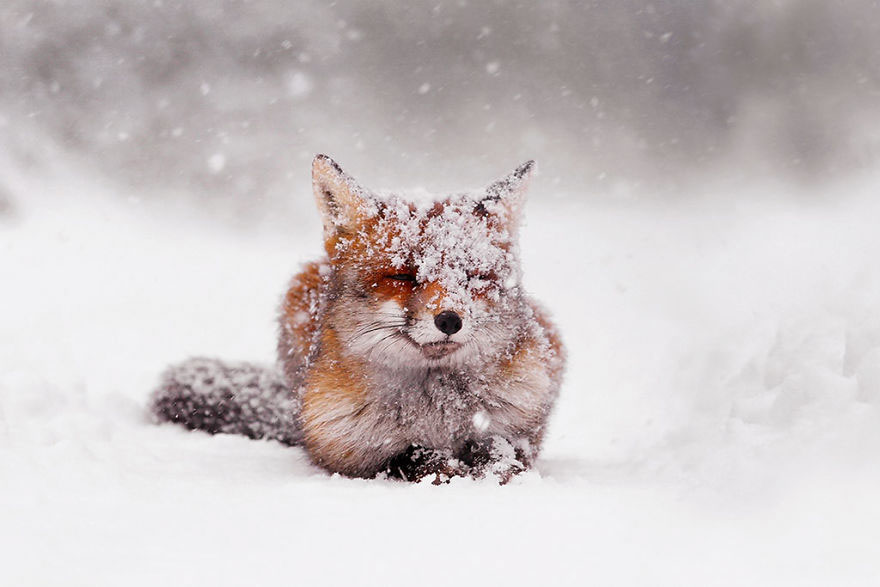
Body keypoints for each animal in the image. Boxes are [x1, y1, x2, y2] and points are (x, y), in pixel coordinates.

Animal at [151, 154, 565, 483]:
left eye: (474, 277)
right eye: (403, 276)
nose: (449, 320)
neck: (437, 411)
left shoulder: (520, 427)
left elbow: (502, 454)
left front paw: (491, 473)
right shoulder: (345, 450)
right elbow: (414, 456)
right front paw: (447, 470)